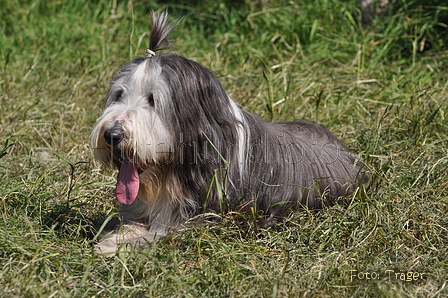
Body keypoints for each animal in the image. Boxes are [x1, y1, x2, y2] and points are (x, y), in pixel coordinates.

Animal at [89, 11, 370, 254]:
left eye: (152, 100)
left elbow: (165, 232)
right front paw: (116, 236)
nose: (112, 135)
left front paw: (113, 246)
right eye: (119, 94)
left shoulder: (208, 216)